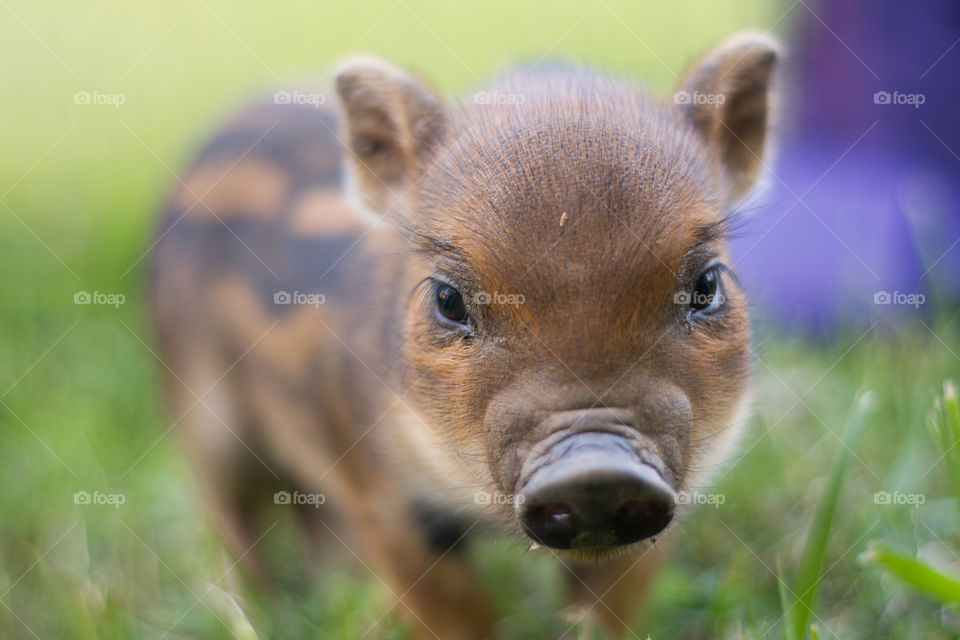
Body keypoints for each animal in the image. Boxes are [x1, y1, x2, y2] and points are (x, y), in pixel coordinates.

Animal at [150, 31, 778, 639]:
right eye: (447, 299)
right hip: (199, 405)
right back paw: (253, 607)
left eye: (705, 284)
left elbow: (606, 605)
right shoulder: (383, 493)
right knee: (228, 513)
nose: (595, 471)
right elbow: (454, 609)